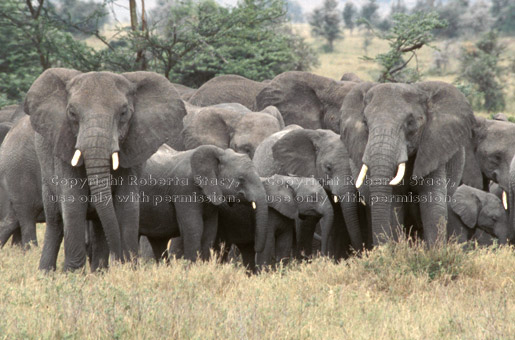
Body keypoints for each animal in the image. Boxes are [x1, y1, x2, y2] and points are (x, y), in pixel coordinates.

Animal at [24, 68, 185, 270]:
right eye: (72, 113)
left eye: (123, 112)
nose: (119, 259)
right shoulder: (65, 145)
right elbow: (73, 203)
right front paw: (72, 273)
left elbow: (127, 205)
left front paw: (128, 268)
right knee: (55, 221)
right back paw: (46, 273)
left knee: (99, 224)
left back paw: (99, 270)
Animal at [340, 82, 478, 247]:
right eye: (365, 123)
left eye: (411, 123)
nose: (382, 249)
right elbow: (394, 207)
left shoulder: (434, 148)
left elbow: (433, 206)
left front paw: (435, 252)